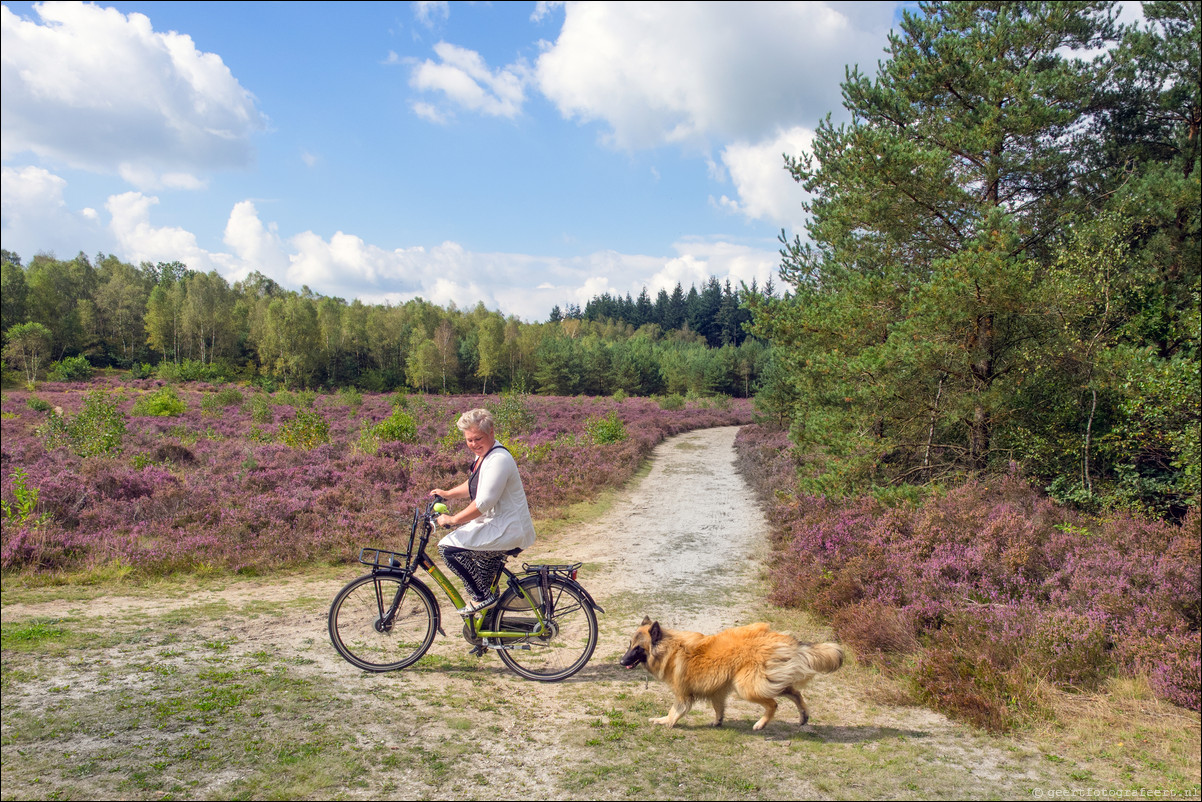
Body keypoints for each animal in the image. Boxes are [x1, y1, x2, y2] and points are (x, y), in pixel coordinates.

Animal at [620, 620, 846, 731]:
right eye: (629, 645)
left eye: (638, 648)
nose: (621, 662)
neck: (670, 648)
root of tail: (786, 640)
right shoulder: (717, 690)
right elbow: (718, 708)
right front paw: (718, 722)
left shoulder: (683, 695)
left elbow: (674, 711)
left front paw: (664, 721)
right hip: (767, 680)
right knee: (795, 693)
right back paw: (803, 716)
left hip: (746, 686)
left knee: (773, 704)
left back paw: (761, 724)